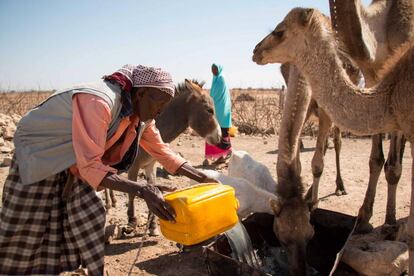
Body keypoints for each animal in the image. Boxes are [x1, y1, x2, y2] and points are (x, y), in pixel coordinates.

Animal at [252, 7, 414, 274]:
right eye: (281, 237)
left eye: (310, 236)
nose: (256, 50)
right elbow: (299, 159)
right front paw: (308, 194)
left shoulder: (327, 113)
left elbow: (317, 162)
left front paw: (314, 198)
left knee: (348, 146)